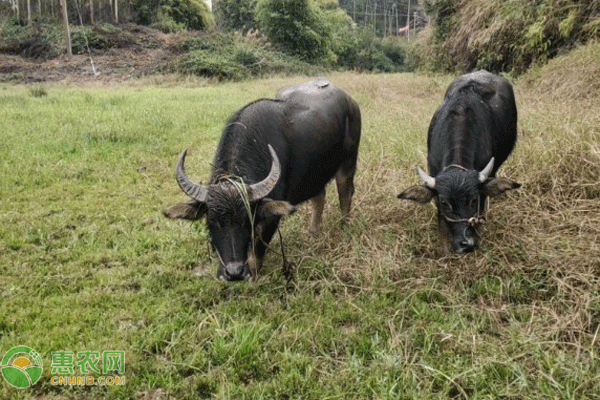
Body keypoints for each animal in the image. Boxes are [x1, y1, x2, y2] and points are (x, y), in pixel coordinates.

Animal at [163, 79, 360, 282]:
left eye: (247, 221)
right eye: (211, 222)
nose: (234, 272)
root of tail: (350, 102)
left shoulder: (271, 217)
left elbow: (257, 250)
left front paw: (252, 275)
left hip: (348, 163)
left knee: (345, 195)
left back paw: (343, 227)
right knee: (319, 197)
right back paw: (313, 234)